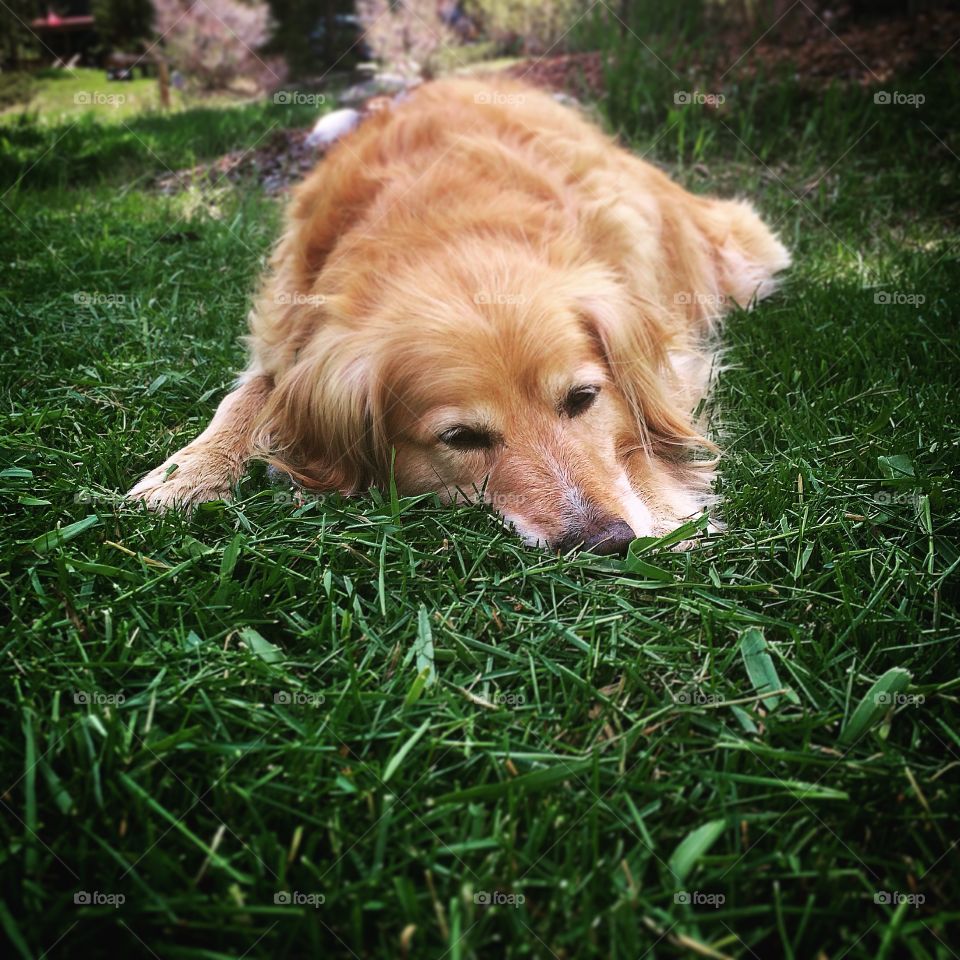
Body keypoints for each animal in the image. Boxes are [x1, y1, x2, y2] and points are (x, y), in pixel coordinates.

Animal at [127, 78, 788, 552]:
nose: (605, 541)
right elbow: (245, 398)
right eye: (462, 438)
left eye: (582, 399)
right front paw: (187, 473)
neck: (449, 232)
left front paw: (661, 506)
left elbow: (648, 427)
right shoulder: (290, 335)